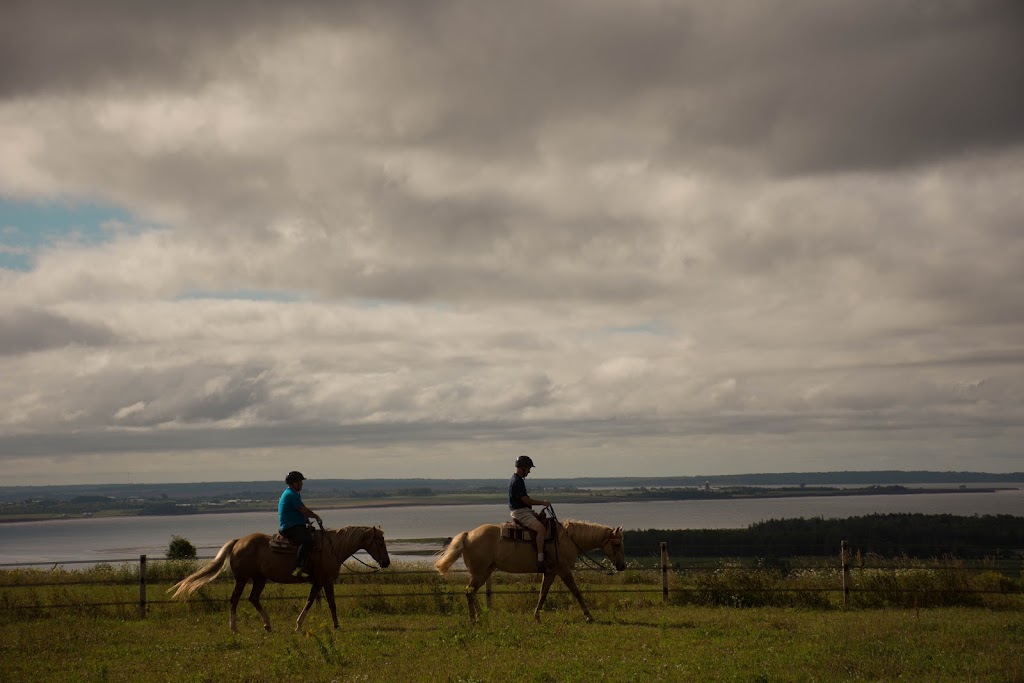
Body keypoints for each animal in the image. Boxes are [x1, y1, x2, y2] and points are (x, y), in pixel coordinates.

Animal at [169, 528, 389, 634]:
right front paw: (305, 625)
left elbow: (321, 602)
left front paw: (331, 625)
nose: (386, 562)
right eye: (380, 541)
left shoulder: (320, 581)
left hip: (259, 579)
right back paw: (234, 628)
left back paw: (267, 625)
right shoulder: (324, 580)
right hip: (242, 578)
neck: (331, 548)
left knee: (253, 598)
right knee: (235, 600)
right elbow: (323, 603)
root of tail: (239, 542)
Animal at [432, 518, 622, 626]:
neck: (567, 539)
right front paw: (589, 616)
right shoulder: (563, 570)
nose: (622, 566)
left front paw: (537, 617)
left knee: (471, 592)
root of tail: (468, 536)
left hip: (485, 572)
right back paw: (475, 619)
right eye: (618, 544)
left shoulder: (551, 572)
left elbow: (542, 594)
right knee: (469, 592)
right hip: (479, 573)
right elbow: (576, 592)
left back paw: (478, 618)